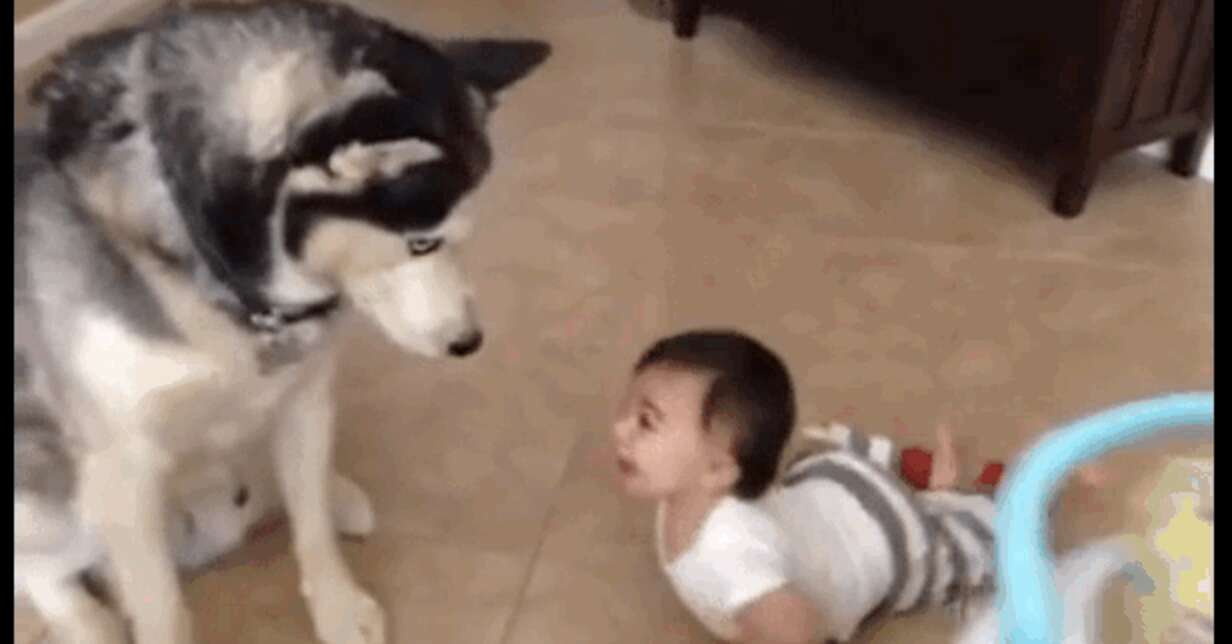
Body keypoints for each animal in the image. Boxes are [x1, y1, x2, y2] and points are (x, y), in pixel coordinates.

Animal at [14, 2, 549, 640]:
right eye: (422, 242)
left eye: (455, 235)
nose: (469, 341)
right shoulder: (125, 473)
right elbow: (163, 611)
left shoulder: (306, 396)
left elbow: (310, 521)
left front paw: (338, 605)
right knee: (45, 571)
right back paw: (88, 620)